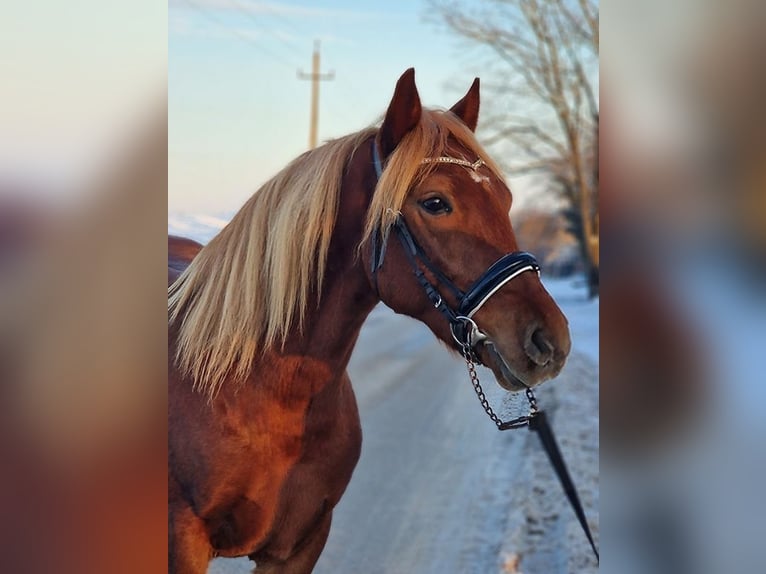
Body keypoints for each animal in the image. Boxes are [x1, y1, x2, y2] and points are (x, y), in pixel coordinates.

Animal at [168, 68, 571, 574]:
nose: (550, 340)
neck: (260, 389)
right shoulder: (182, 545)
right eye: (435, 203)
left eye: (505, 198)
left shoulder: (301, 544)